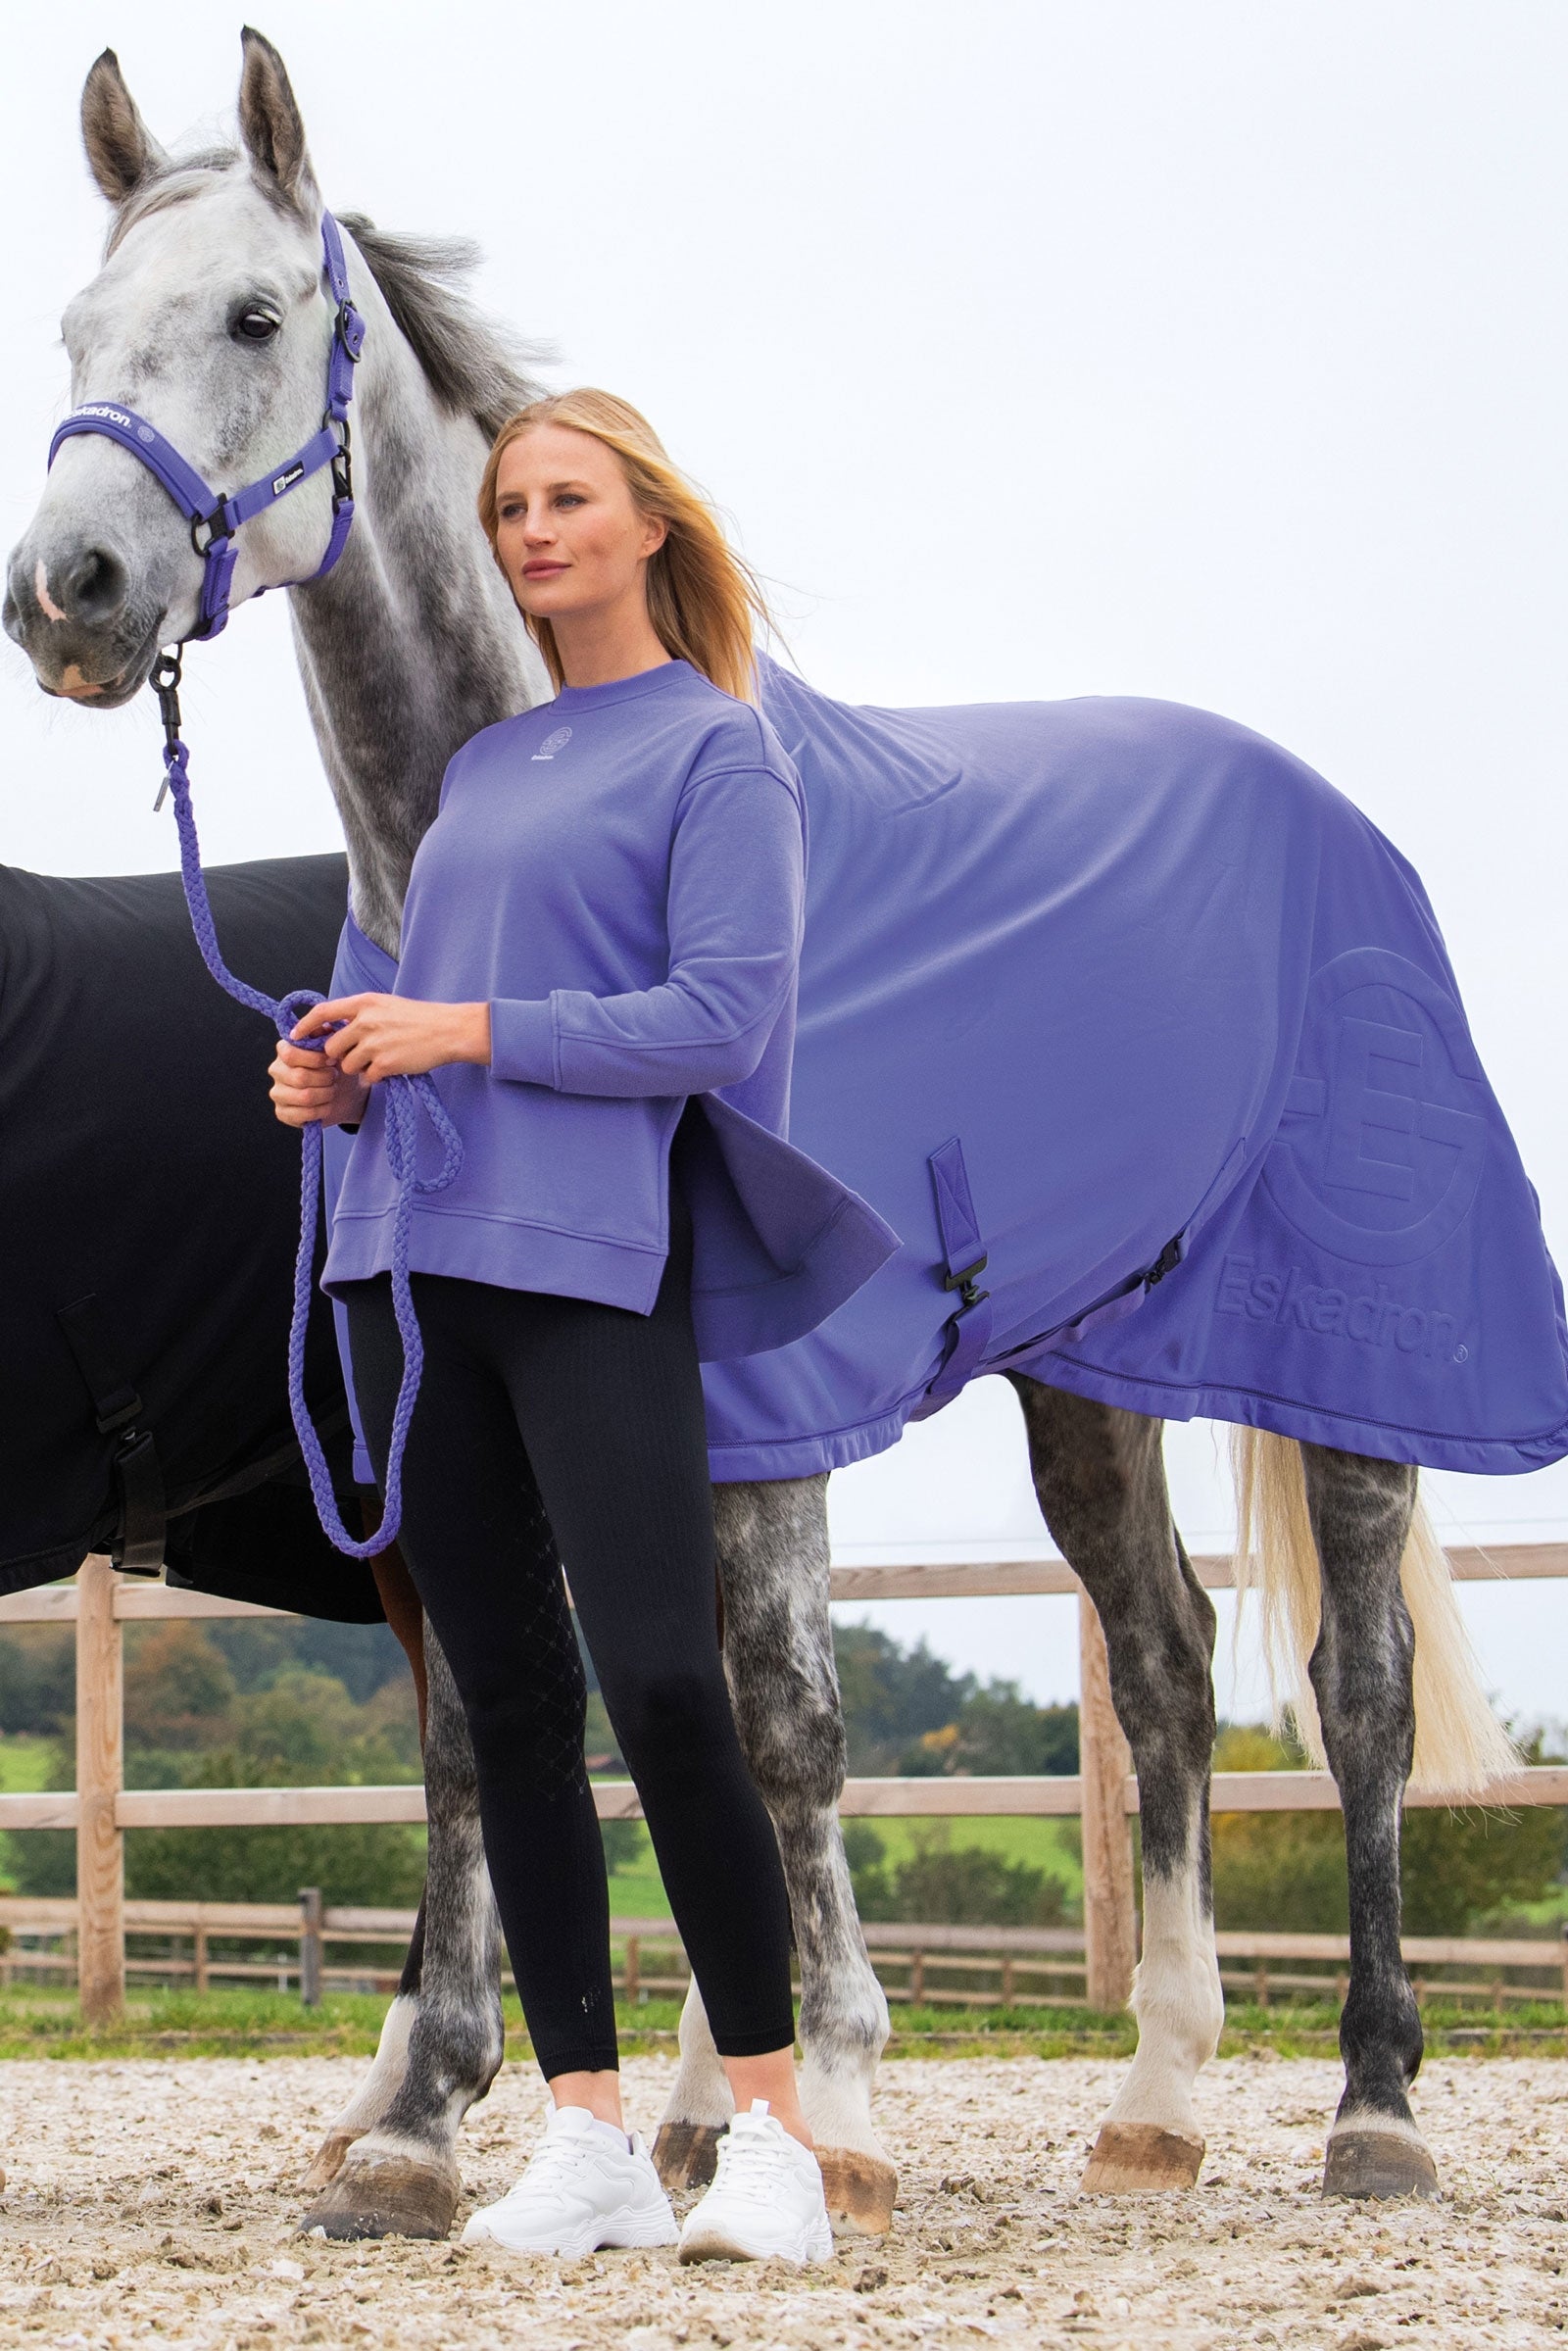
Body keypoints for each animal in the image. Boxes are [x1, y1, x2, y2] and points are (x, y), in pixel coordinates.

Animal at [7, 31, 1561, 2242]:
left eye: (249, 316)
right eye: (74, 329)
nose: (71, 590)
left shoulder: (764, 1382)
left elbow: (784, 1721)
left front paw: (816, 2098)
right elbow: (609, 1724)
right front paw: (543, 2123)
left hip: (1342, 1351)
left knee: (1352, 1690)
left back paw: (1372, 2102)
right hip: (1085, 1364)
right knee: (1165, 1666)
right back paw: (1160, 2091)